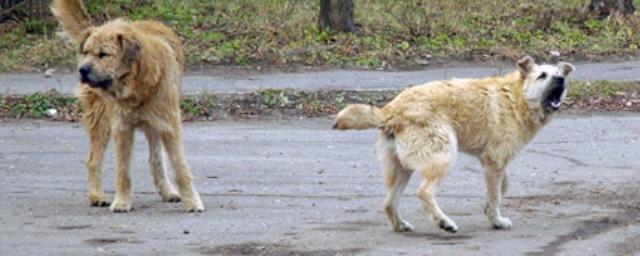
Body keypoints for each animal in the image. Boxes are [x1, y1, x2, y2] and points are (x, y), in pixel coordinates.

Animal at [52, 0, 202, 212]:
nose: (82, 70)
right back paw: (96, 195)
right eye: (86, 52)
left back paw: (167, 190)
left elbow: (180, 167)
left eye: (103, 54)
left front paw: (192, 201)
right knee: (93, 160)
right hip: (102, 121)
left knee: (155, 159)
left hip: (153, 124)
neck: (135, 85)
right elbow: (123, 171)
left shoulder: (169, 125)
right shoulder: (121, 128)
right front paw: (122, 201)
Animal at [336, 57, 576, 233]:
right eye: (542, 76)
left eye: (559, 75)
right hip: (443, 158)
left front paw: (492, 205)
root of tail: (391, 110)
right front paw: (496, 220)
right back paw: (444, 222)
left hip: (402, 169)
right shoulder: (495, 159)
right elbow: (496, 194)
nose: (560, 80)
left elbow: (501, 186)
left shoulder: (491, 161)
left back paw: (401, 225)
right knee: (424, 192)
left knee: (388, 203)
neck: (517, 98)